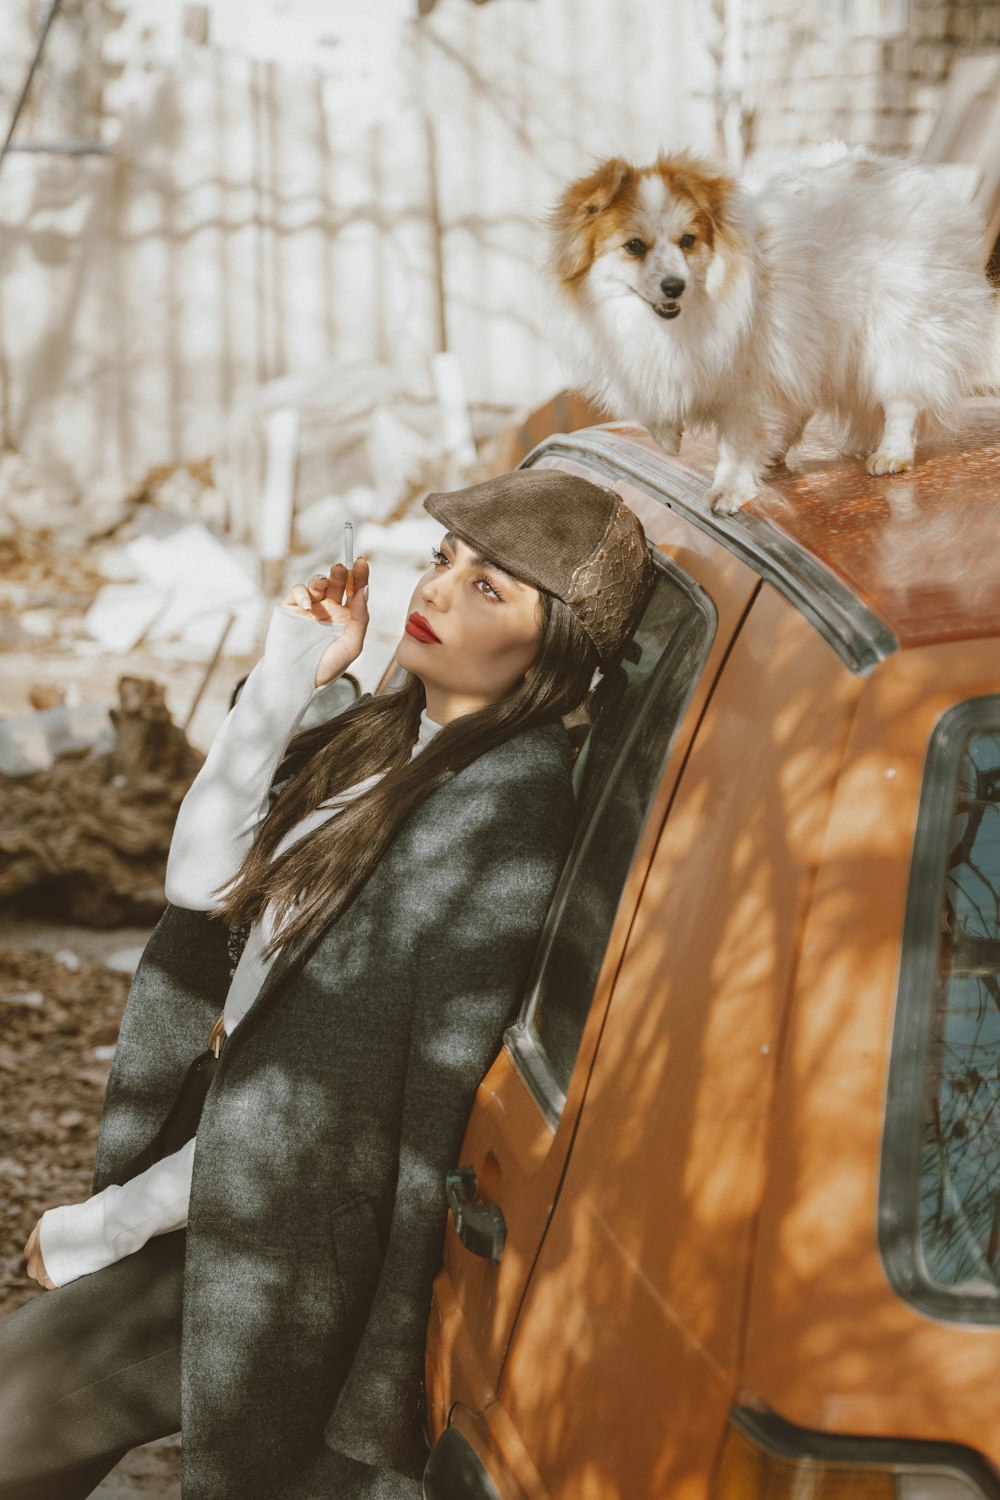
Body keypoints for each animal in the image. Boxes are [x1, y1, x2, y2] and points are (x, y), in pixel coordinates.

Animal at [548, 142, 995, 516]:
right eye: (634, 247)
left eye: (688, 241)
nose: (675, 286)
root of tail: (911, 178)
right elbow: (657, 408)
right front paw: (670, 435)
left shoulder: (751, 382)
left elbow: (737, 443)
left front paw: (729, 489)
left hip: (897, 331)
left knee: (903, 398)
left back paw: (891, 454)